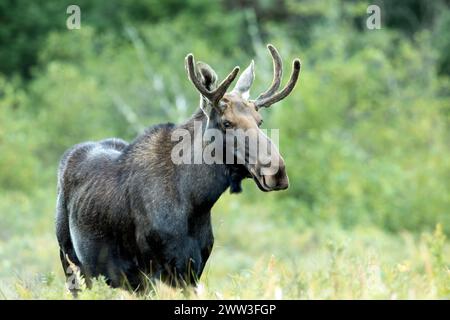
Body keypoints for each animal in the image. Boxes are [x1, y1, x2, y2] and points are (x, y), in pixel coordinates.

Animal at [57, 43, 302, 292]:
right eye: (227, 123)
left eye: (259, 121)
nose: (277, 172)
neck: (196, 203)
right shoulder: (150, 271)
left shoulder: (192, 270)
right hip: (72, 262)